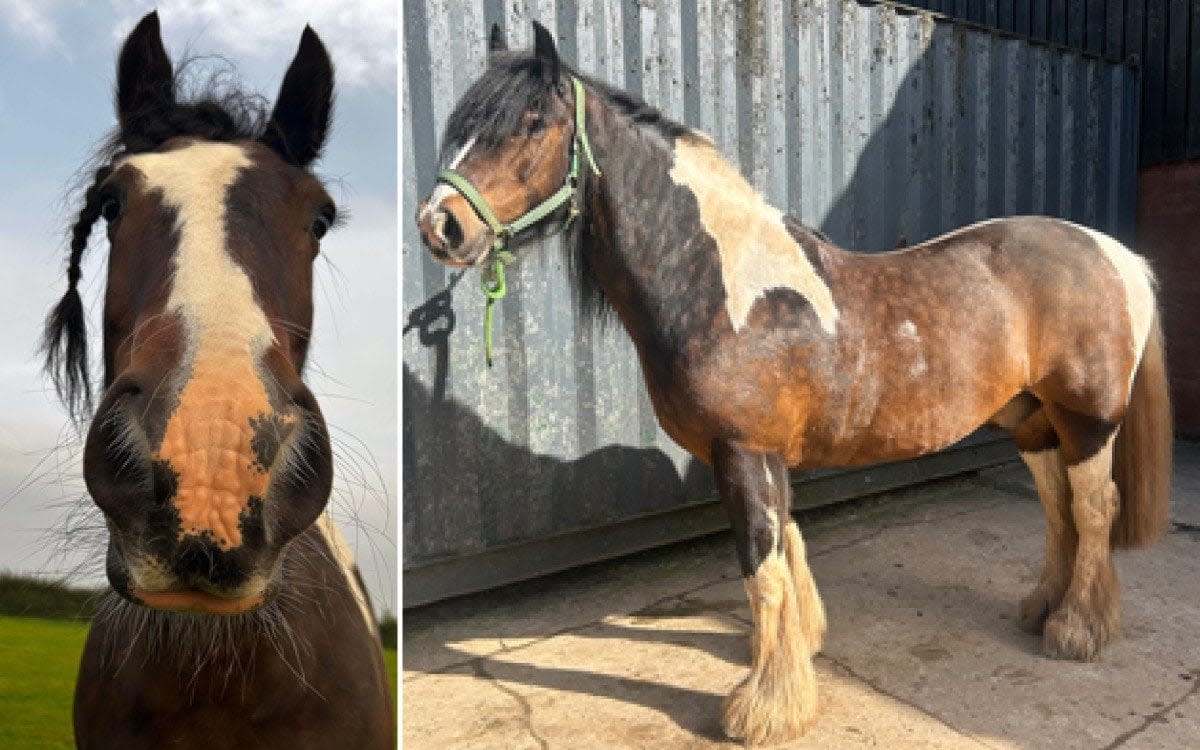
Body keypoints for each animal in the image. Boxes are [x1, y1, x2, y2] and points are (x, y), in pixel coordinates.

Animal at [417, 21, 1176, 744]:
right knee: (1058, 511)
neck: (722, 289)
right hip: (1032, 421)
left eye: (533, 121)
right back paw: (1042, 609)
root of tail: (1115, 254)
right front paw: (797, 656)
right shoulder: (763, 454)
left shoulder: (742, 451)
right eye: (462, 124)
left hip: (1085, 421)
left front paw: (765, 708)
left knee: (1095, 509)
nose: (439, 225)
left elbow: (762, 569)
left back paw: (1077, 629)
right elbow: (785, 547)